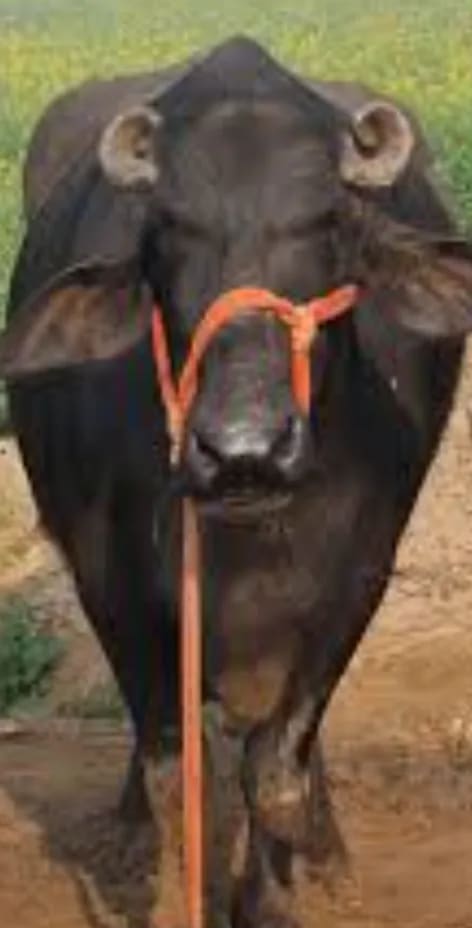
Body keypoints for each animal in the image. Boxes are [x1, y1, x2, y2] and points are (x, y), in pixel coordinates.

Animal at [1, 35, 472, 928]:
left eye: (330, 222)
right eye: (168, 230)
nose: (243, 451)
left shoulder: (354, 581)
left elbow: (275, 774)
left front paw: (274, 896)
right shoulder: (112, 587)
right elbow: (174, 773)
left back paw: (330, 853)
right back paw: (127, 834)